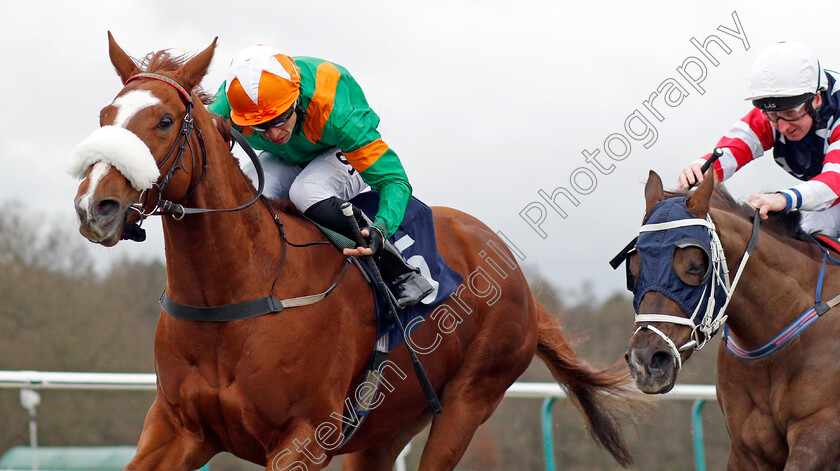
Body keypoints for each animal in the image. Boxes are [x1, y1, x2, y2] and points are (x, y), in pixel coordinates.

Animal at [72, 35, 636, 470]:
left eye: (164, 121)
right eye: (103, 116)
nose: (95, 205)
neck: (236, 294)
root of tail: (519, 280)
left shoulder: (303, 438)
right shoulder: (175, 428)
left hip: (467, 403)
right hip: (384, 429)